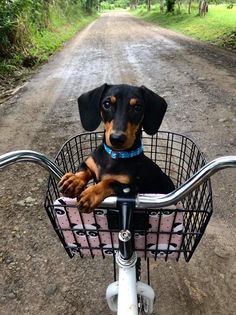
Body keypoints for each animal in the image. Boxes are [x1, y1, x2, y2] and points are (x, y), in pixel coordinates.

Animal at [59, 84, 173, 214]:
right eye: (107, 104)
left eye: (138, 107)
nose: (117, 139)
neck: (115, 155)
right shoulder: (90, 163)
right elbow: (84, 170)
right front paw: (73, 181)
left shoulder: (130, 187)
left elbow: (109, 182)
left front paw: (91, 194)